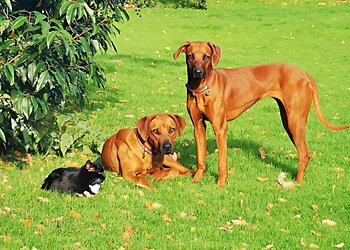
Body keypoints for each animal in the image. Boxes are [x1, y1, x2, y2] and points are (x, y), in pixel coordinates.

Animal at [174, 41, 348, 187]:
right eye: (190, 56)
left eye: (206, 57)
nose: (198, 72)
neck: (202, 88)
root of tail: (304, 74)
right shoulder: (198, 126)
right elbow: (200, 158)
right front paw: (196, 179)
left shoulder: (220, 128)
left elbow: (222, 162)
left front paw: (221, 185)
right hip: (288, 121)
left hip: (295, 121)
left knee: (304, 154)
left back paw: (297, 183)